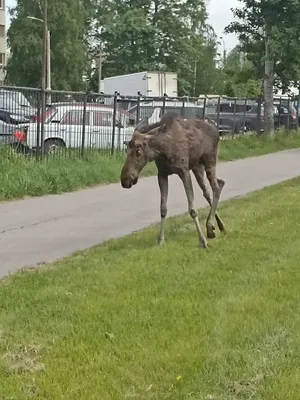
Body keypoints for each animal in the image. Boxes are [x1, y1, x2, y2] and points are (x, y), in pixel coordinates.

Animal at [119, 112, 225, 248]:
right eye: (126, 149)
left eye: (138, 150)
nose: (125, 180)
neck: (163, 151)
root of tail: (217, 131)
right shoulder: (162, 174)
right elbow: (163, 208)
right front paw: (161, 239)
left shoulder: (184, 172)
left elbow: (192, 209)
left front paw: (202, 241)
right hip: (197, 167)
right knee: (211, 189)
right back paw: (218, 226)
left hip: (210, 161)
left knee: (215, 187)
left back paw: (211, 226)